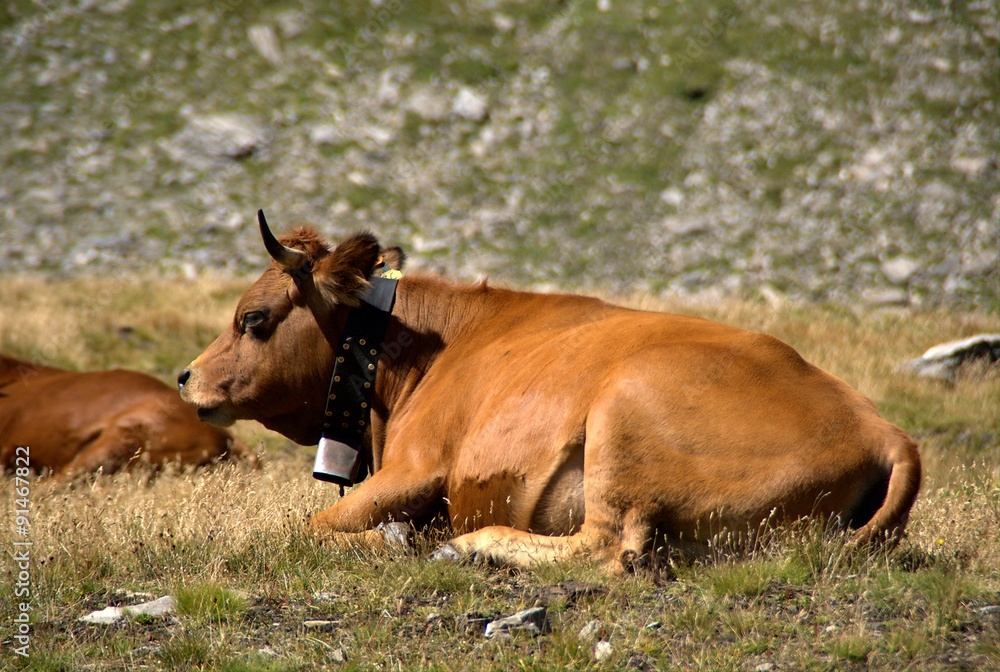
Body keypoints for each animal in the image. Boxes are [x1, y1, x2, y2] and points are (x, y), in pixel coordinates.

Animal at [177, 212, 921, 572]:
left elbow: (307, 529)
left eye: (253, 319)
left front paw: (394, 541)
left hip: (623, 413)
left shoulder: (418, 466)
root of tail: (886, 430)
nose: (186, 377)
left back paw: (470, 547)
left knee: (610, 548)